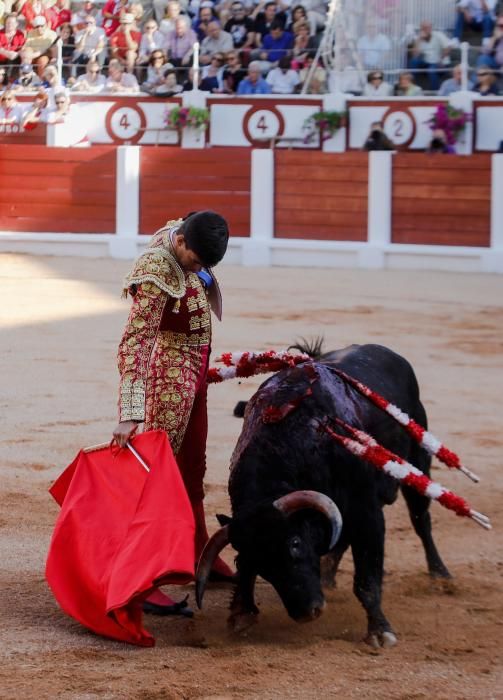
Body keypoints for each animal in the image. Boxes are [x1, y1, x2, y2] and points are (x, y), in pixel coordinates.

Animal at [195, 342, 450, 648]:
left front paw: (380, 631)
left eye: (294, 543)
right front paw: (241, 612)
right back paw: (328, 574)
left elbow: (367, 579)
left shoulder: (368, 513)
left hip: (417, 460)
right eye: (262, 565)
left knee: (421, 519)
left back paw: (440, 576)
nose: (307, 613)